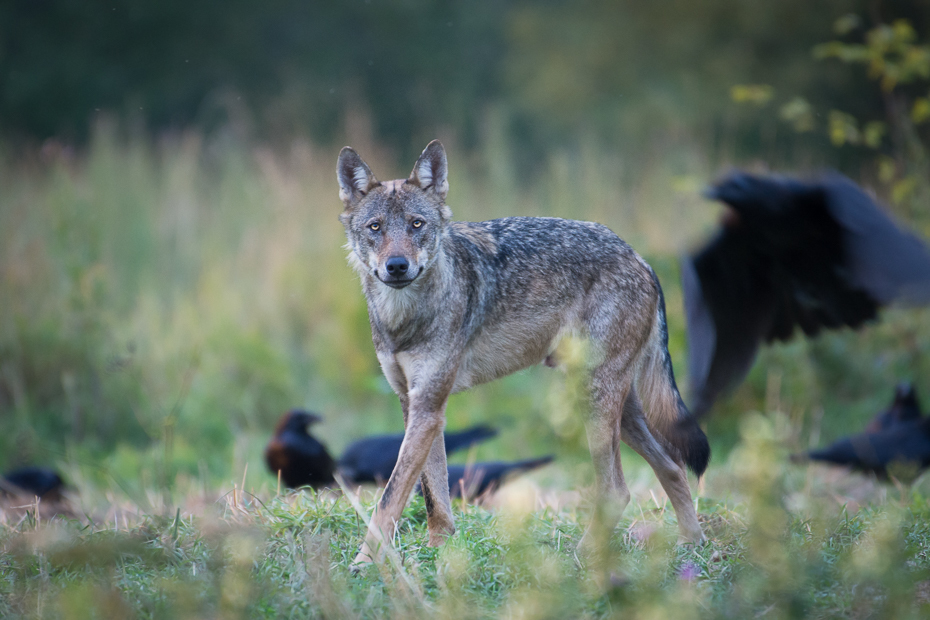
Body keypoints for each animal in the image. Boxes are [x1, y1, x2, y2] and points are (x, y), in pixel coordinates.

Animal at [338, 140, 708, 568]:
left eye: (416, 224)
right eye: (375, 227)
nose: (397, 266)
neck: (404, 318)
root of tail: (642, 259)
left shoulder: (428, 406)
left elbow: (389, 499)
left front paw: (364, 562)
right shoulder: (418, 405)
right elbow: (434, 498)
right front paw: (441, 554)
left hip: (595, 401)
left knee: (618, 489)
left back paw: (582, 557)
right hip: (621, 410)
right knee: (673, 467)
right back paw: (692, 546)